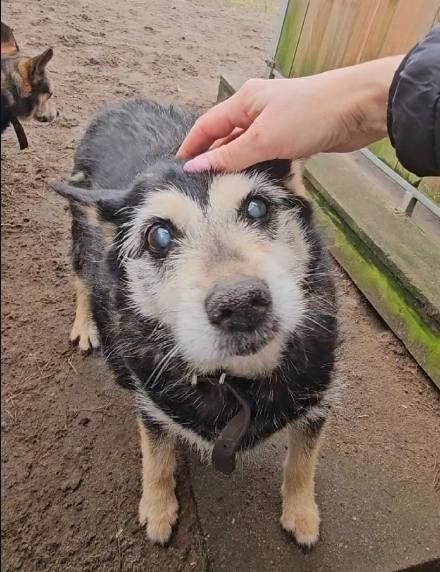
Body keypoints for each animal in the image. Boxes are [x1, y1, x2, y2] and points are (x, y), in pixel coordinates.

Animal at [49, 98, 336, 548]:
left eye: (257, 207)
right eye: (158, 237)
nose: (240, 303)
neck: (237, 379)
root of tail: (125, 102)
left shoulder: (317, 398)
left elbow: (303, 461)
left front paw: (301, 512)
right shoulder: (150, 404)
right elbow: (157, 457)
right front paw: (157, 508)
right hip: (82, 229)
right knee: (82, 276)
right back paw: (85, 325)